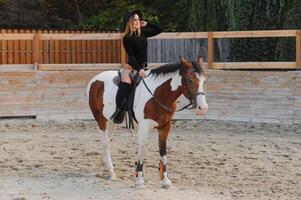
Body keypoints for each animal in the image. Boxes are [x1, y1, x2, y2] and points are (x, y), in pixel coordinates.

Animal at [86, 57, 207, 188]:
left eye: (204, 81)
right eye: (190, 80)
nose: (203, 108)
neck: (157, 94)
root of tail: (94, 80)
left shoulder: (165, 127)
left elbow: (163, 151)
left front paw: (165, 180)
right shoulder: (144, 127)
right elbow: (142, 150)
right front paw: (139, 180)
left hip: (113, 121)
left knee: (107, 141)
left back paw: (106, 166)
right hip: (100, 119)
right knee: (105, 141)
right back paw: (111, 172)